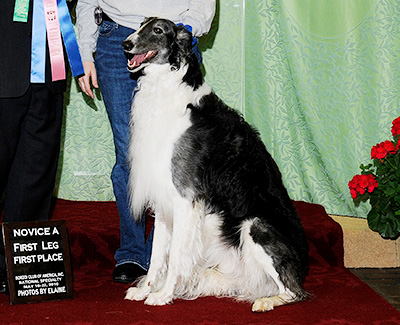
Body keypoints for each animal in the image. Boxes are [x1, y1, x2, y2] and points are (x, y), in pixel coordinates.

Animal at [123, 17, 308, 312]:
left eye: (158, 30)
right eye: (140, 25)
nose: (125, 45)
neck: (166, 87)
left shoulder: (185, 198)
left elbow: (175, 258)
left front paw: (163, 295)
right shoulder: (164, 199)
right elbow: (156, 258)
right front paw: (146, 290)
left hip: (255, 225)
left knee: (293, 292)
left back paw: (266, 301)